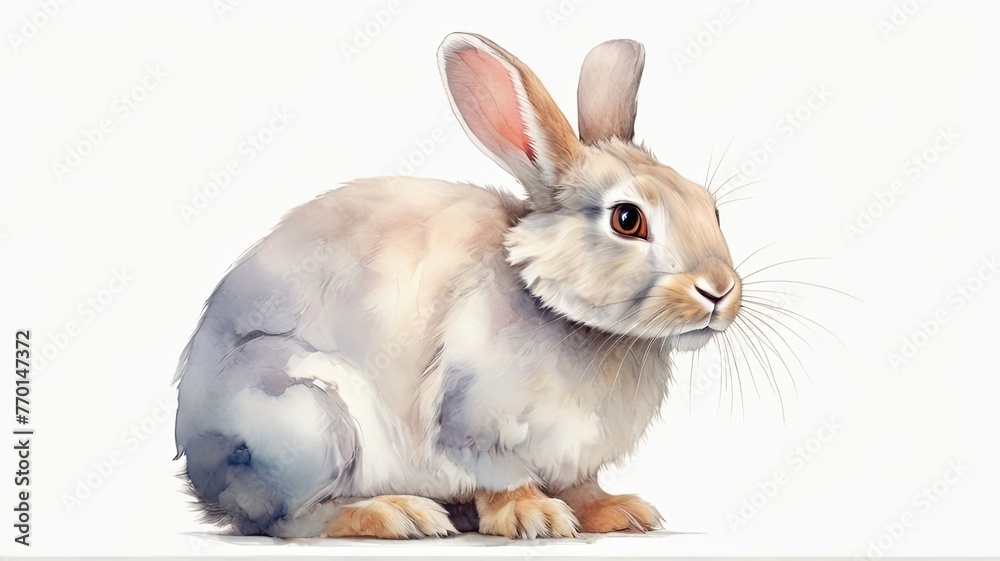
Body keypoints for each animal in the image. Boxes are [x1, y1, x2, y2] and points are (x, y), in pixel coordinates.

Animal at [174, 32, 742, 539]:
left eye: (711, 208)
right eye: (628, 220)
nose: (718, 290)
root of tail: (200, 472)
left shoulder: (574, 457)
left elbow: (581, 486)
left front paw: (620, 512)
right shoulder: (471, 424)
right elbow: (502, 477)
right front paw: (534, 517)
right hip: (310, 419)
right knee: (284, 521)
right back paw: (397, 515)